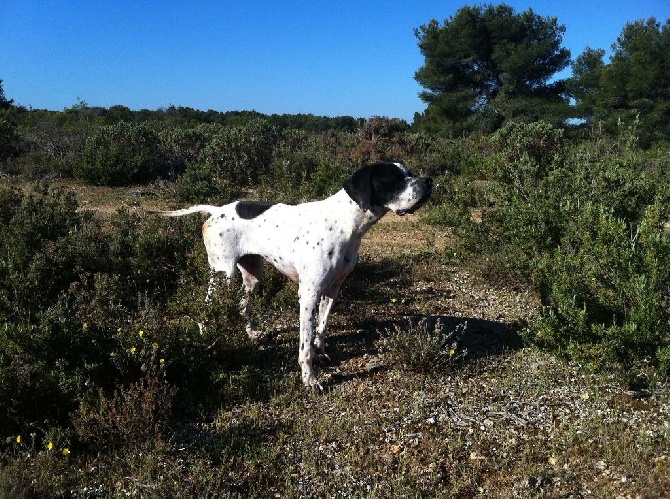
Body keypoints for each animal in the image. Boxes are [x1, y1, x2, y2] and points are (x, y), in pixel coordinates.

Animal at [158, 162, 434, 388]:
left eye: (409, 173)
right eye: (393, 179)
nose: (428, 181)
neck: (346, 223)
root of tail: (217, 210)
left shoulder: (332, 289)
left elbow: (321, 327)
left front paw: (321, 352)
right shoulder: (309, 294)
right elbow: (304, 345)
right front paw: (309, 378)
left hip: (252, 276)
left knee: (241, 303)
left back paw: (251, 332)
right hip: (222, 274)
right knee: (207, 307)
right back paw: (207, 335)